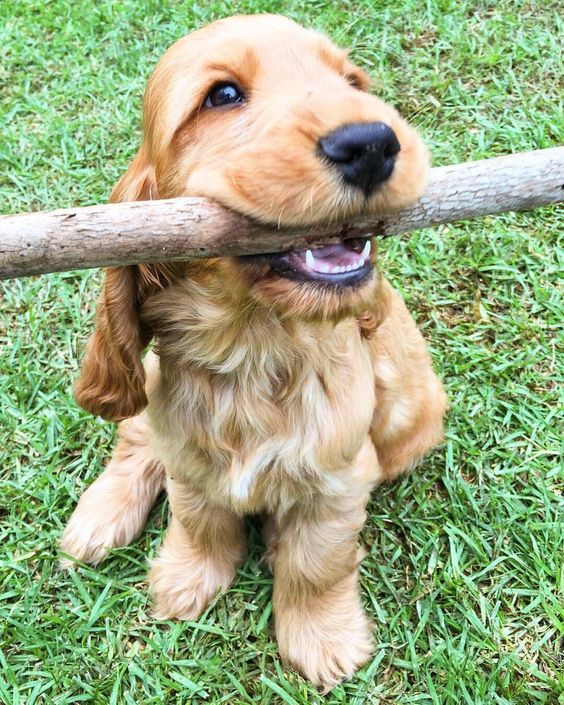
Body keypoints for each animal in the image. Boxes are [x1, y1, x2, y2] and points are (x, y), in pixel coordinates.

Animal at [60, 13, 446, 692]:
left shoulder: (340, 478)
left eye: (352, 82)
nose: (372, 143)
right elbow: (199, 522)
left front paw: (324, 642)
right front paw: (185, 581)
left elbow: (317, 564)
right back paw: (96, 521)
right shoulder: (190, 462)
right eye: (222, 96)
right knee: (136, 438)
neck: (254, 346)